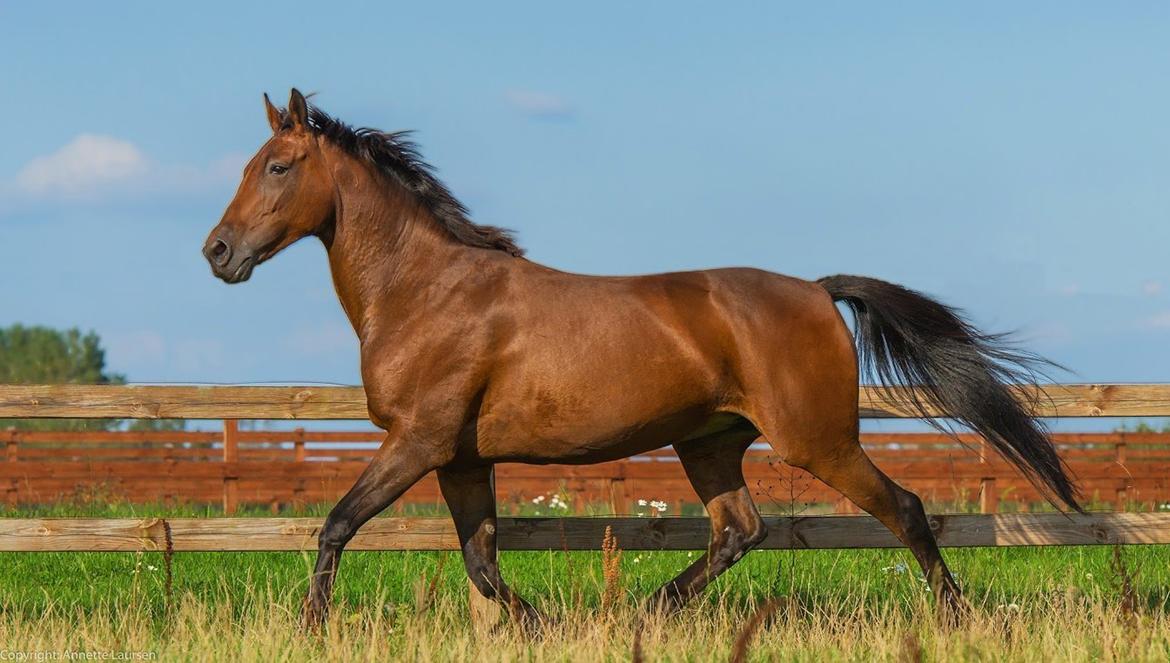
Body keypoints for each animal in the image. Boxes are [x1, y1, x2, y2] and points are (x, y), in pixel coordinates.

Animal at [198, 89, 1076, 631]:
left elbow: (339, 524)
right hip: (710, 441)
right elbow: (480, 558)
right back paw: (652, 610)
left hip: (818, 441)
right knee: (739, 530)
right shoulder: (459, 456)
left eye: (278, 166)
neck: (428, 291)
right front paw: (544, 626)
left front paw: (312, 628)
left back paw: (956, 617)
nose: (218, 252)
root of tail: (817, 291)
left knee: (906, 509)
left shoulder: (416, 441)